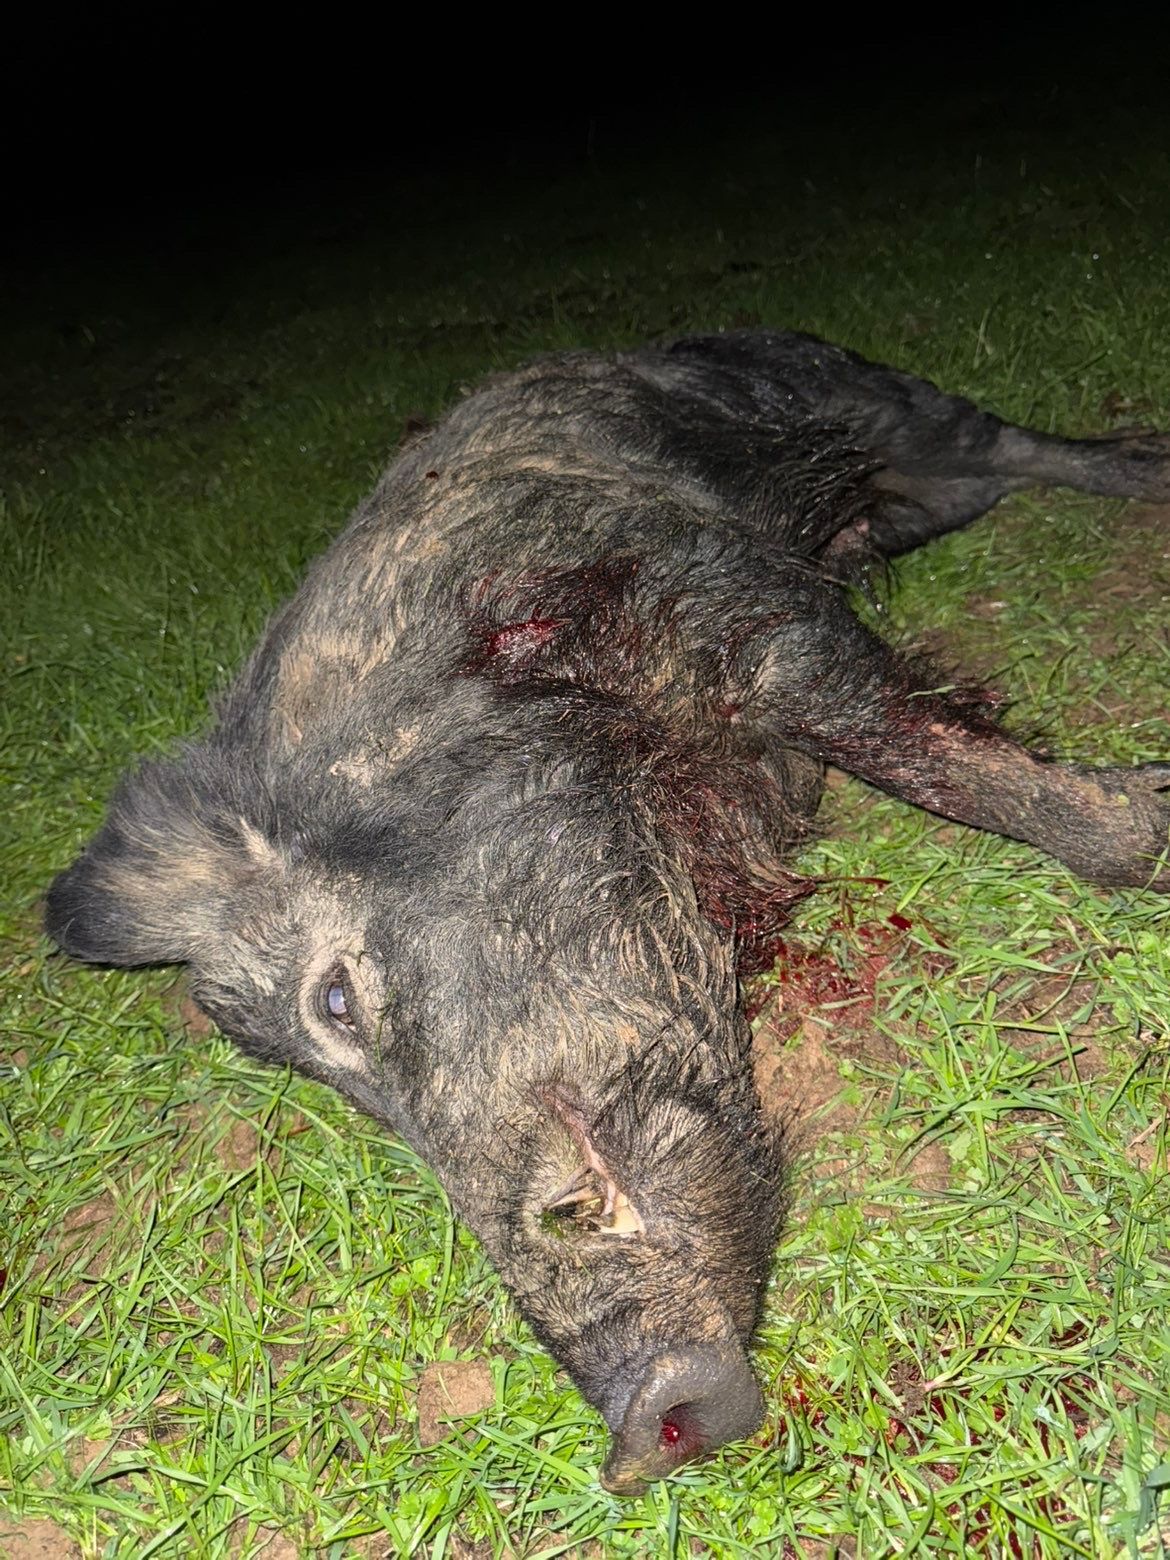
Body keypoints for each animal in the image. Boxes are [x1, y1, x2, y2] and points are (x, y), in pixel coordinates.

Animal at [45, 331, 1170, 1493]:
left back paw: (1150, 467)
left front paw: (1152, 821)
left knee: (1018, 446)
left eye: (336, 1001)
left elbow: (915, 749)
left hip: (884, 412)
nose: (634, 1437)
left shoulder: (717, 589)